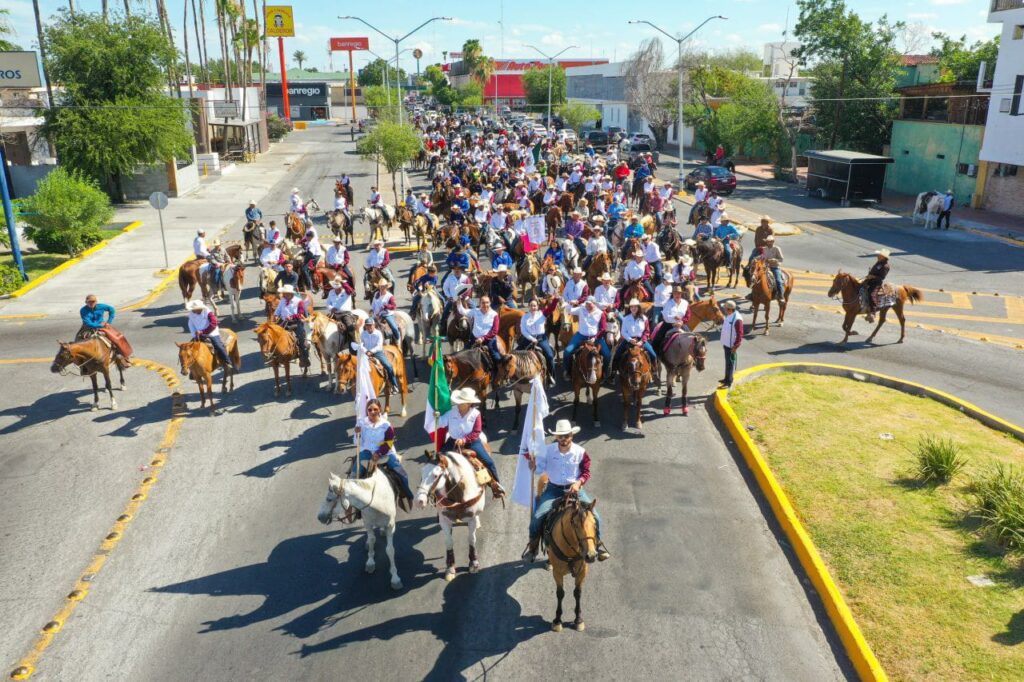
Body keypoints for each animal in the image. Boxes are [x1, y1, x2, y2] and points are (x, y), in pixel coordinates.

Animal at [536, 481, 598, 630]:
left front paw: (578, 619)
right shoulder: (558, 573)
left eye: (594, 524)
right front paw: (557, 620)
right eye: (576, 525)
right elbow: (560, 593)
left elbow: (578, 593)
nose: (591, 555)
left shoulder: (583, 571)